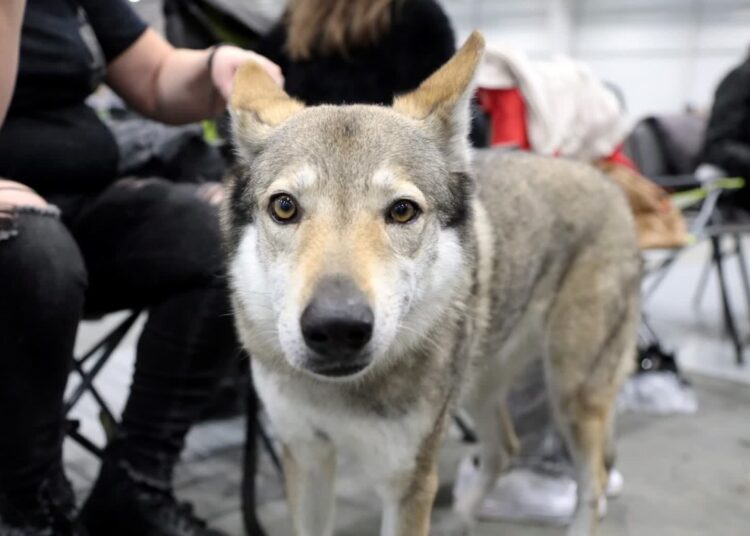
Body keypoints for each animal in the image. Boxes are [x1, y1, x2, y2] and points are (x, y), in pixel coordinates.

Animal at [223, 32, 641, 536]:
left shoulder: (409, 480)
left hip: (571, 394)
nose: (337, 327)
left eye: (402, 211)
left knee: (591, 483)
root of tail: (607, 182)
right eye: (284, 207)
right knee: (504, 449)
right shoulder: (305, 459)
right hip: (481, 386)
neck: (343, 393)